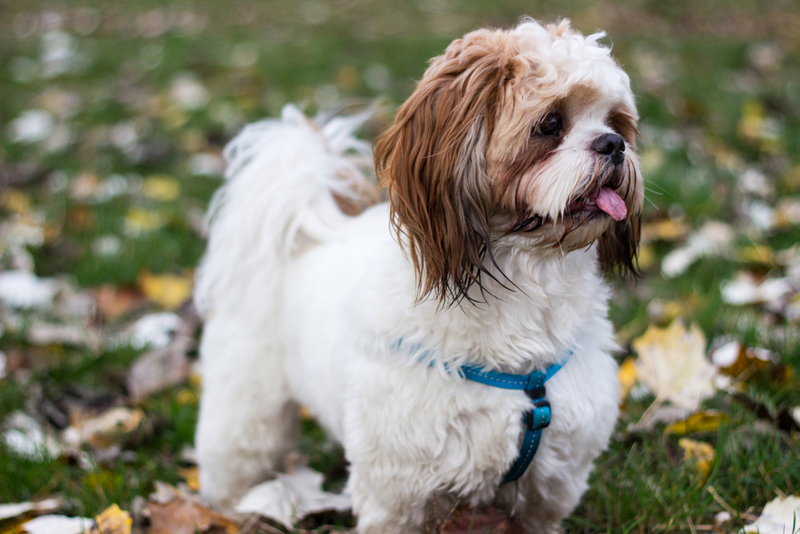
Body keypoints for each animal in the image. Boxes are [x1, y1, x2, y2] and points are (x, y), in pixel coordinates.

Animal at [194, 18, 644, 534]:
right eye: (550, 124)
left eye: (615, 122)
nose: (614, 145)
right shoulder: (397, 485)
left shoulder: (550, 482)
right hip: (246, 411)